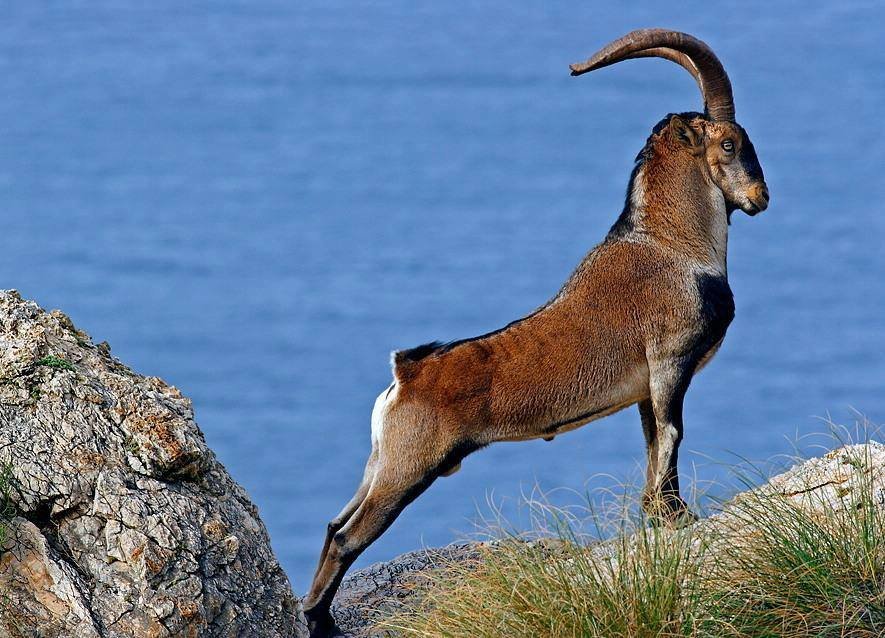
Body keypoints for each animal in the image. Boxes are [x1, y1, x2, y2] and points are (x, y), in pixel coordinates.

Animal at [303, 28, 769, 637]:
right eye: (732, 144)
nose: (761, 197)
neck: (673, 245)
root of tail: (404, 375)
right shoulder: (670, 364)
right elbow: (671, 436)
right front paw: (675, 517)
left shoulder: (646, 386)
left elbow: (652, 442)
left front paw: (660, 515)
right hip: (409, 467)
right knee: (348, 536)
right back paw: (321, 622)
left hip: (381, 463)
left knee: (334, 523)